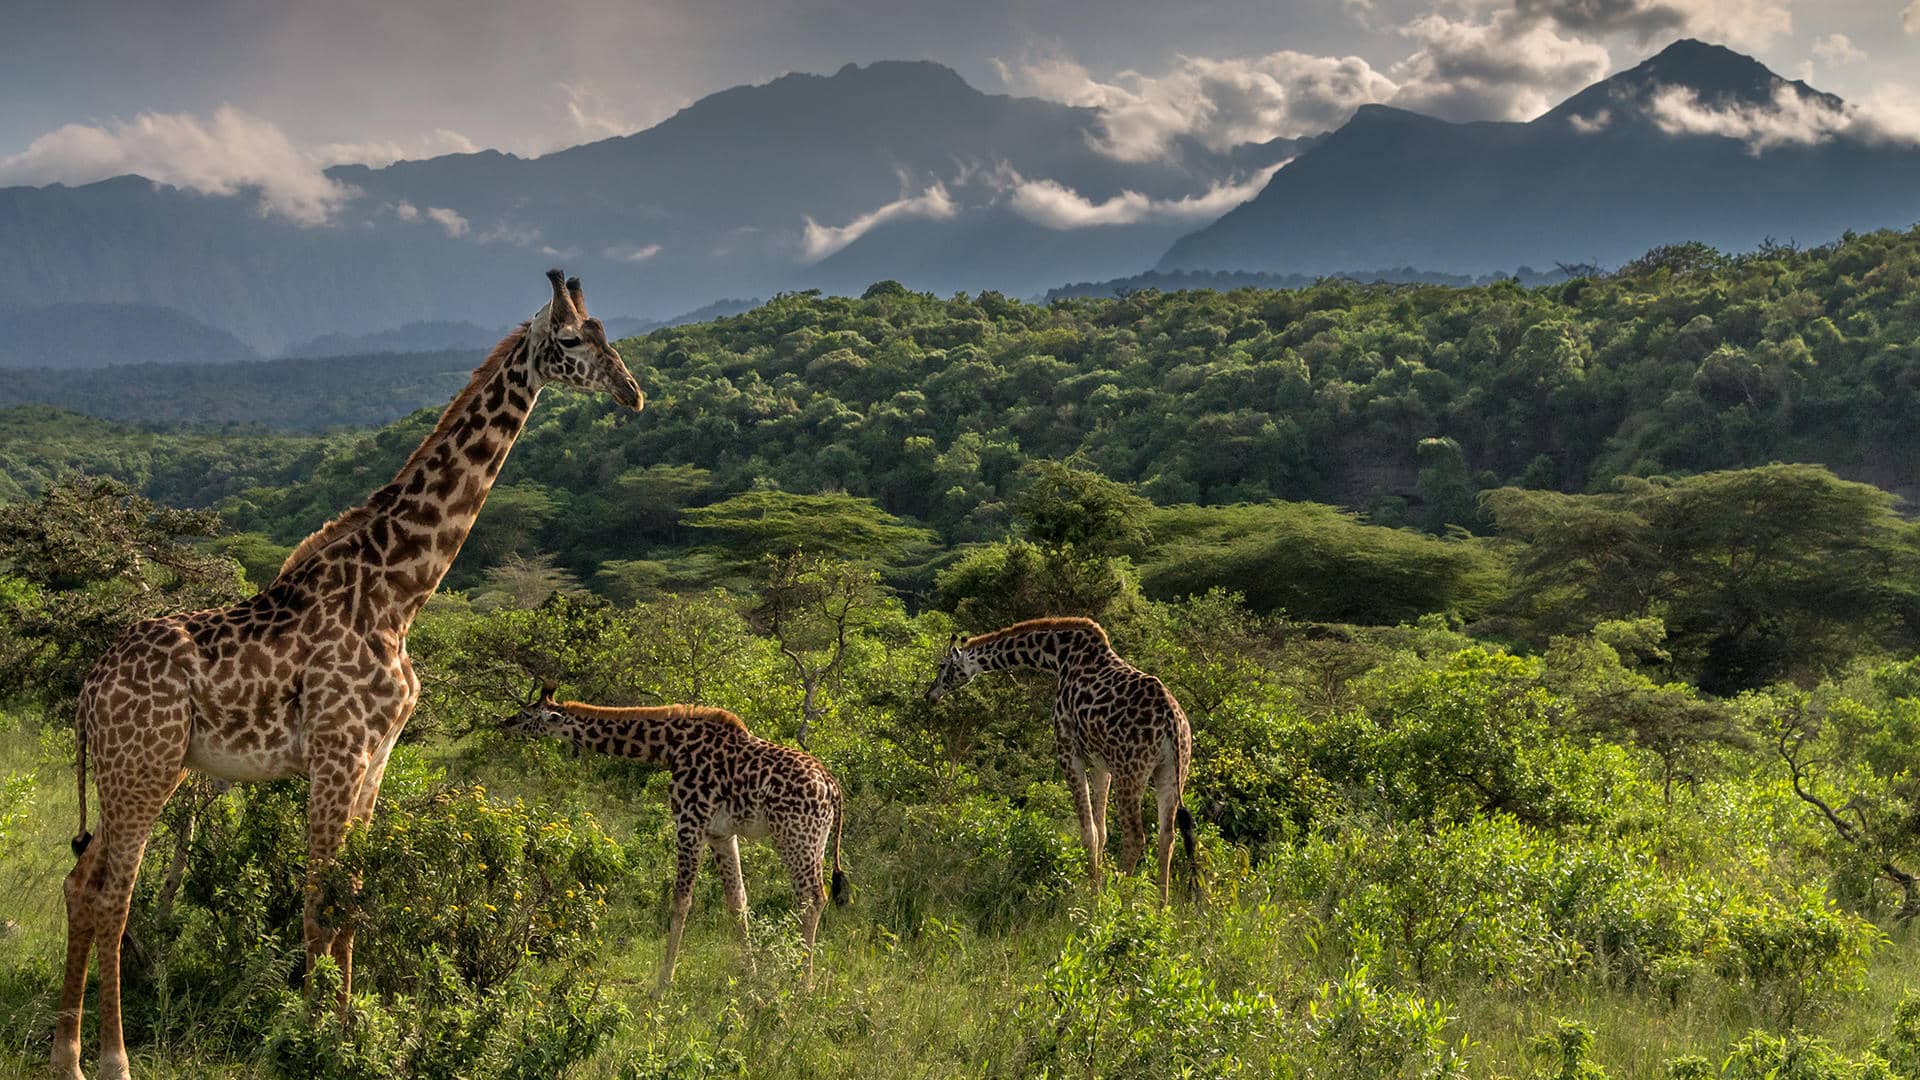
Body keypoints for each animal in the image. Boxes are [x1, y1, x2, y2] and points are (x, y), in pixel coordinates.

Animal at [53, 270, 642, 1080]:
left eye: (608, 333)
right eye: (572, 339)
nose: (631, 392)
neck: (399, 591)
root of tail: (88, 691)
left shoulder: (376, 756)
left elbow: (352, 898)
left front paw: (347, 1029)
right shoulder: (337, 751)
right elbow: (316, 900)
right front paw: (310, 1039)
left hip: (134, 769)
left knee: (82, 885)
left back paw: (66, 1055)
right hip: (145, 765)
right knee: (114, 895)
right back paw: (111, 1059)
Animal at [501, 682, 849, 992]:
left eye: (525, 713)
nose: (503, 724)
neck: (671, 748)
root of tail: (833, 788)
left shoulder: (689, 822)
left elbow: (681, 901)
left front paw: (662, 984)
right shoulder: (721, 834)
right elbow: (737, 901)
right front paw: (749, 977)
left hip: (795, 836)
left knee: (812, 897)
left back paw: (802, 985)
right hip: (816, 840)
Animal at [925, 616, 1195, 902]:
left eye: (942, 666)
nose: (929, 694)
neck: (1057, 657)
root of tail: (1171, 719)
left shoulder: (1068, 752)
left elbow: (1088, 832)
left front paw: (1094, 898)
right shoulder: (1101, 764)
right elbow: (1102, 831)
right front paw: (1098, 887)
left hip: (1131, 770)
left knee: (1135, 837)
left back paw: (1120, 901)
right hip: (1171, 770)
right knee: (1167, 836)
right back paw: (1162, 906)